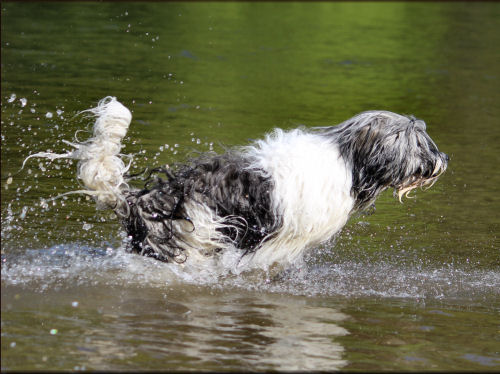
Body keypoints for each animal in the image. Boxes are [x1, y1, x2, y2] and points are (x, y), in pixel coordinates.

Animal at [25, 98, 450, 270]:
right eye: (419, 143)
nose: (443, 161)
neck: (348, 158)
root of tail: (142, 198)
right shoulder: (280, 239)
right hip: (194, 242)